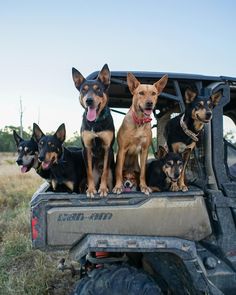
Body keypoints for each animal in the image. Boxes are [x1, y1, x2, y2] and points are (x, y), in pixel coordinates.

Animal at [71, 64, 115, 198]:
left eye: (98, 89)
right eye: (83, 90)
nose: (89, 100)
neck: (96, 122)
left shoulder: (107, 148)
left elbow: (105, 171)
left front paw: (103, 189)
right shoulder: (87, 148)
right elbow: (89, 172)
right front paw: (90, 190)